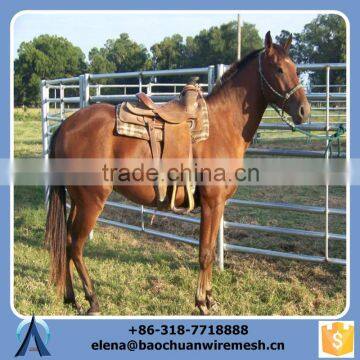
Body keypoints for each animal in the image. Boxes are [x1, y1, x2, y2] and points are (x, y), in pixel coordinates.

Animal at [44, 33, 310, 316]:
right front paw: (202, 302)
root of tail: (66, 125)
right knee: (76, 245)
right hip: (91, 201)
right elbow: (205, 253)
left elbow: (209, 249)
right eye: (279, 69)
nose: (304, 110)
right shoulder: (212, 203)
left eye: (296, 68)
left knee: (65, 241)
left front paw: (209, 299)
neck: (222, 126)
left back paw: (71, 297)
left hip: (78, 200)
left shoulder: (217, 205)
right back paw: (92, 300)